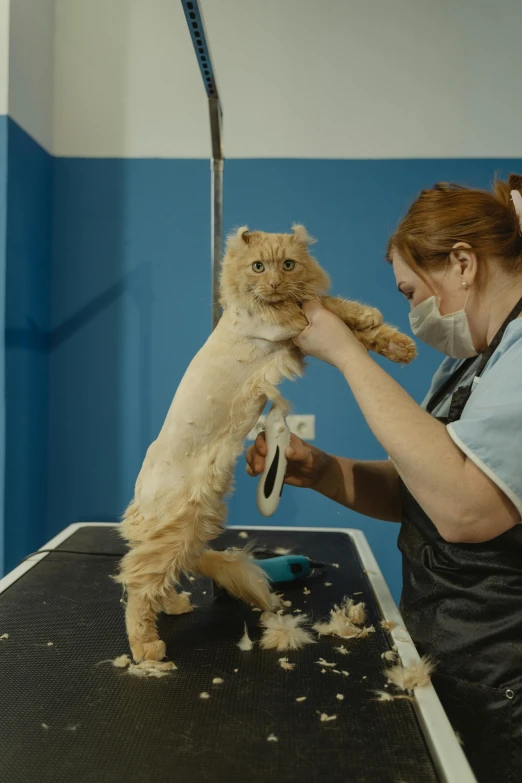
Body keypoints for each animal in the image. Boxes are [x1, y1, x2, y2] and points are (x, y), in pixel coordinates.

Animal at [115, 225, 414, 660]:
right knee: (138, 585)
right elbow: (322, 302)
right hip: (179, 526)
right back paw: (147, 648)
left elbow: (353, 326)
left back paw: (172, 607)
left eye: (288, 264)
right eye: (258, 266)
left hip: (189, 531)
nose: (273, 282)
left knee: (156, 578)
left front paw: (398, 344)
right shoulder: (285, 322)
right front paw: (367, 315)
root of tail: (140, 496)